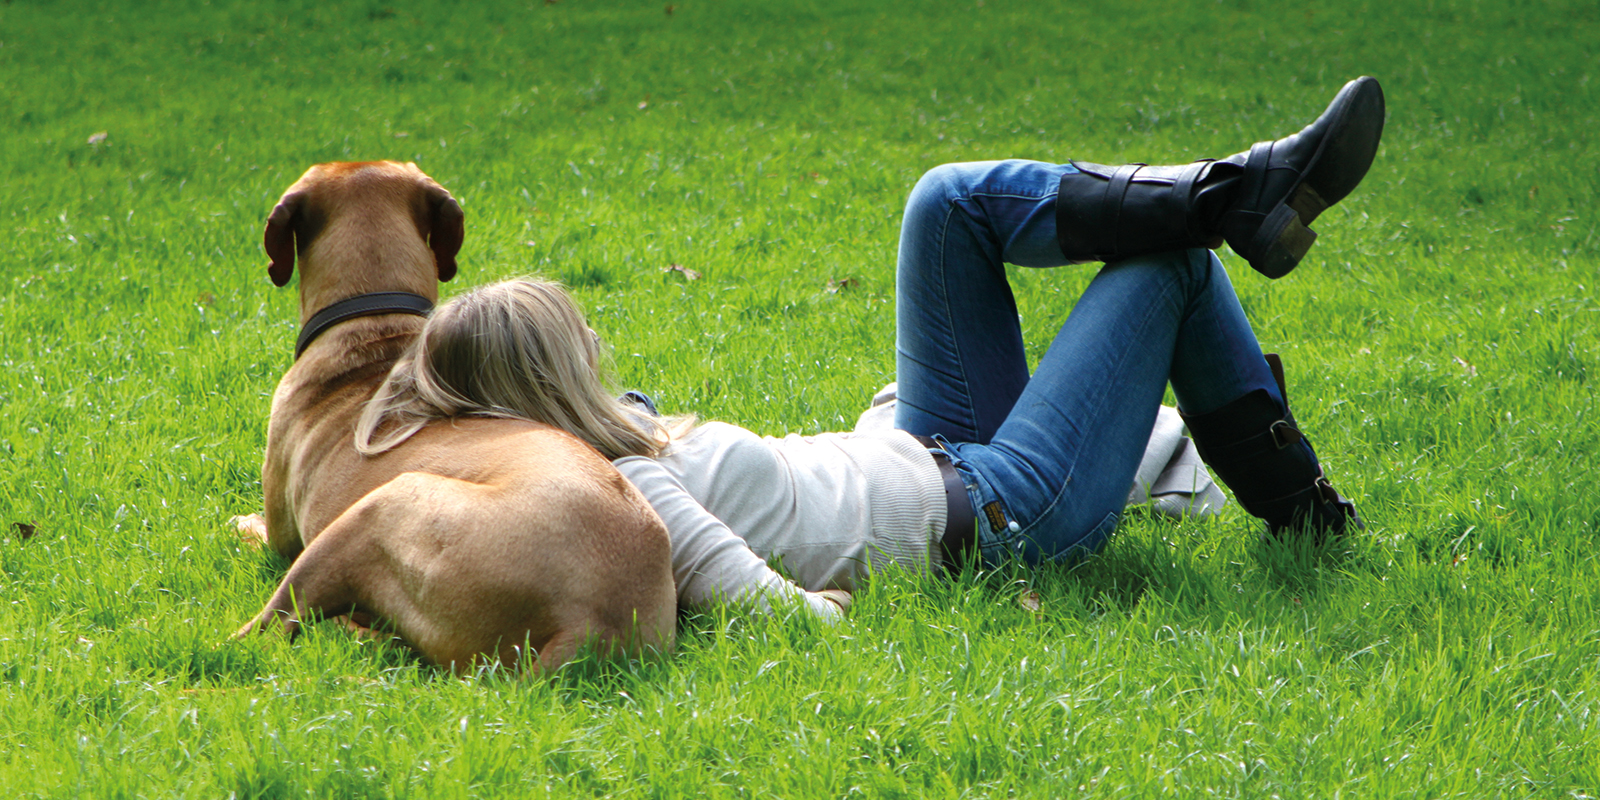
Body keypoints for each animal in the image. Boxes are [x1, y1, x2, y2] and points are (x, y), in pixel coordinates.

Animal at [232, 161, 676, 674]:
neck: (375, 322)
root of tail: (588, 626)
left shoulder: (281, 533)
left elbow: (261, 534)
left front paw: (241, 522)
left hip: (386, 505)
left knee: (271, 627)